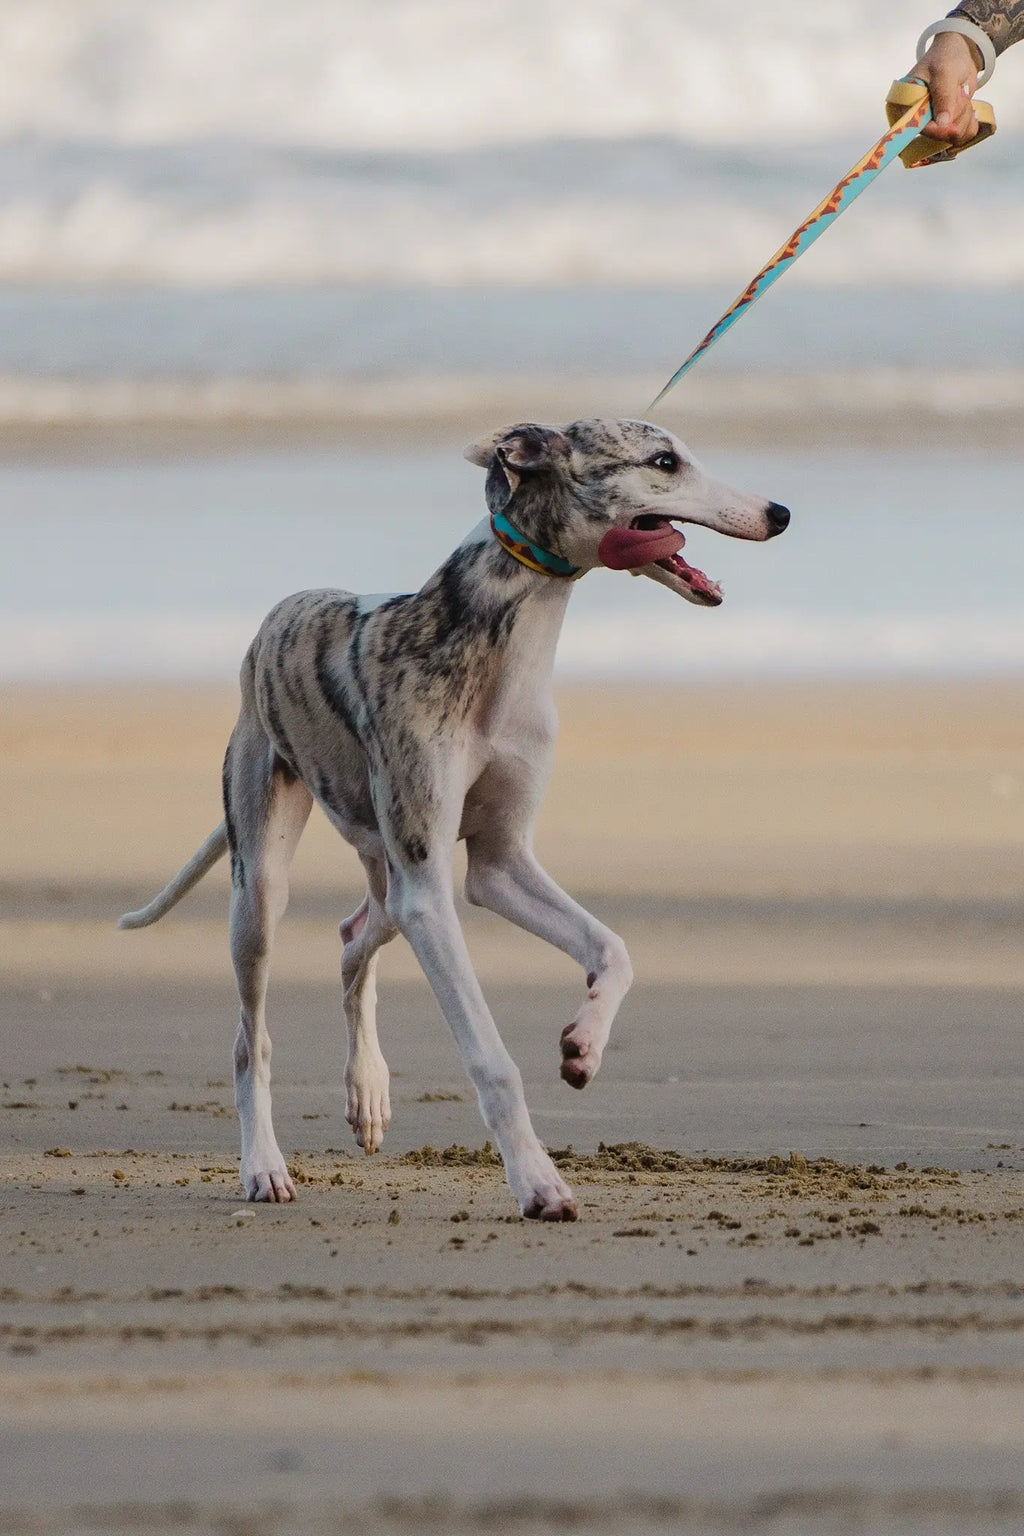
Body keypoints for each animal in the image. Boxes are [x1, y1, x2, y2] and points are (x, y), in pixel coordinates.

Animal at [122, 417, 792, 1210]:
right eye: (664, 461)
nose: (780, 513)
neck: (493, 640)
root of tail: (273, 622)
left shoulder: (497, 865)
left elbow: (613, 948)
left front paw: (583, 1045)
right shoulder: (433, 894)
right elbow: (491, 1059)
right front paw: (537, 1182)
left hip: (388, 877)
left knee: (353, 938)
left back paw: (368, 1093)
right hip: (264, 887)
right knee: (250, 1039)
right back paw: (263, 1165)